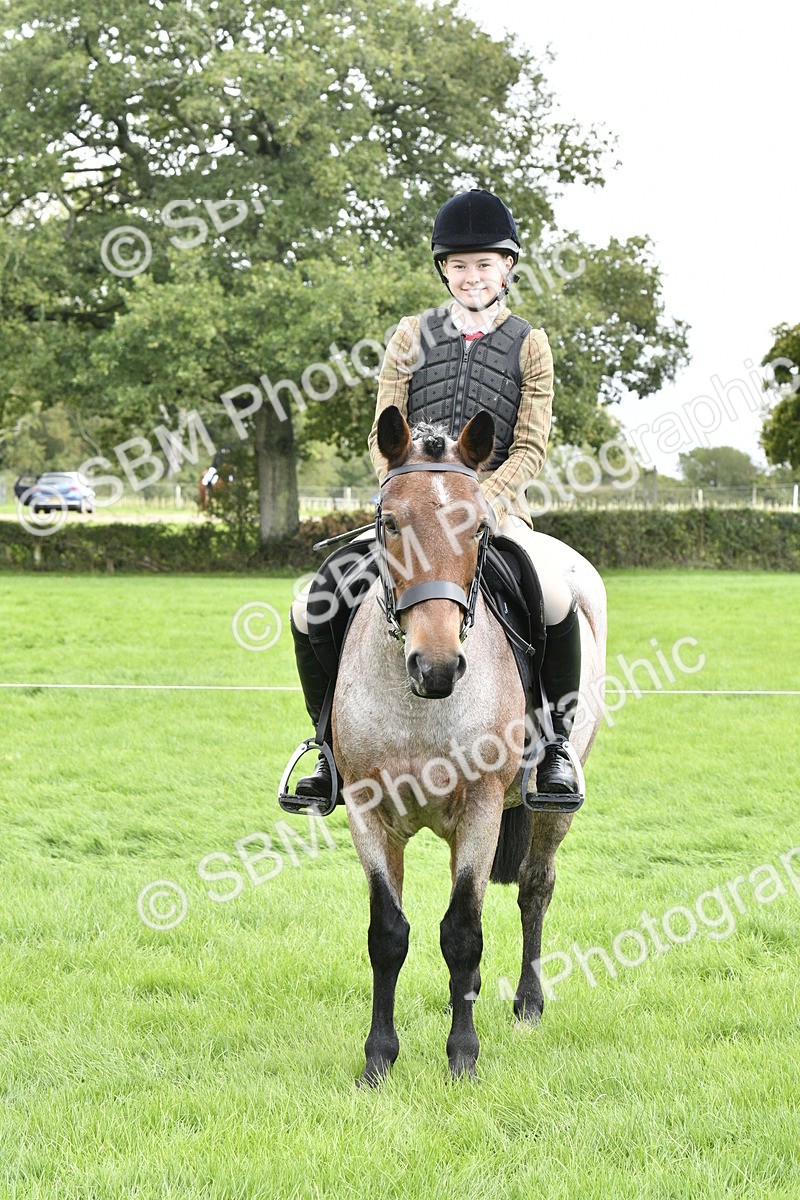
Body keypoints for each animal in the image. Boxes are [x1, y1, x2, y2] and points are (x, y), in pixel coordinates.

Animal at [331, 406, 607, 1084]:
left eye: (478, 530)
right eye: (390, 522)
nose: (436, 666)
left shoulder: (481, 809)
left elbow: (462, 932)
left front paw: (462, 1056)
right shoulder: (367, 811)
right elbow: (388, 934)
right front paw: (379, 1059)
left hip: (547, 808)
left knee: (535, 887)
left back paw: (528, 1004)